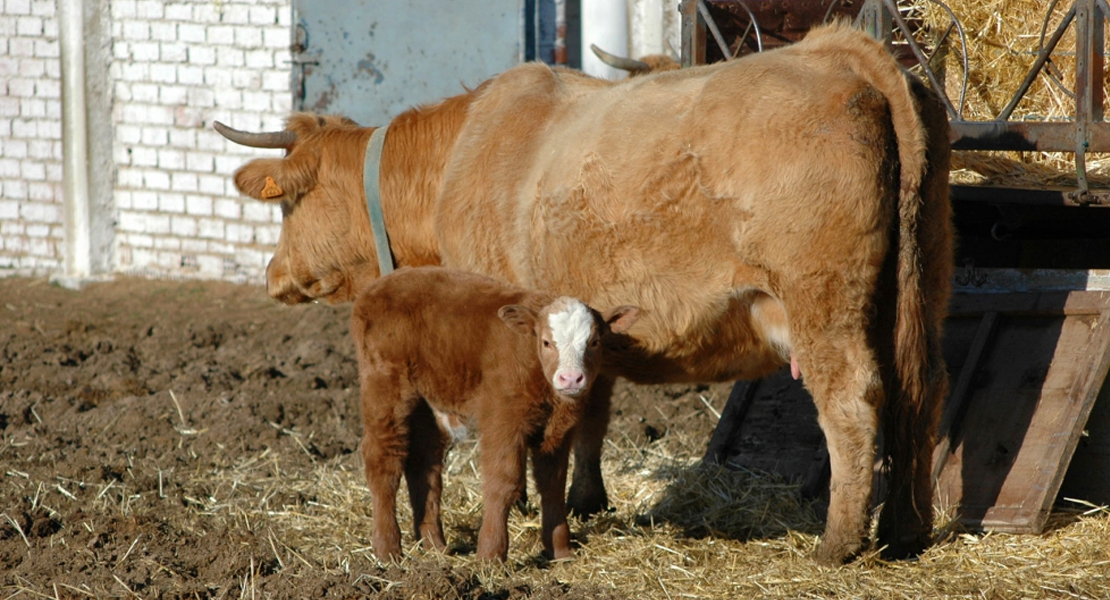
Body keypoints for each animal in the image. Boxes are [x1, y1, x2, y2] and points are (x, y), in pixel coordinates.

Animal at [350, 263, 639, 558]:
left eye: (594, 342)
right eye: (546, 342)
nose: (571, 379)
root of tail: (378, 286)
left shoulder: (558, 429)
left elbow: (553, 484)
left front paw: (561, 551)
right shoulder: (502, 417)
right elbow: (503, 482)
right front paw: (490, 553)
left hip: (426, 401)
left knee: (424, 462)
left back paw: (435, 546)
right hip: (385, 386)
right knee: (383, 459)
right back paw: (387, 549)